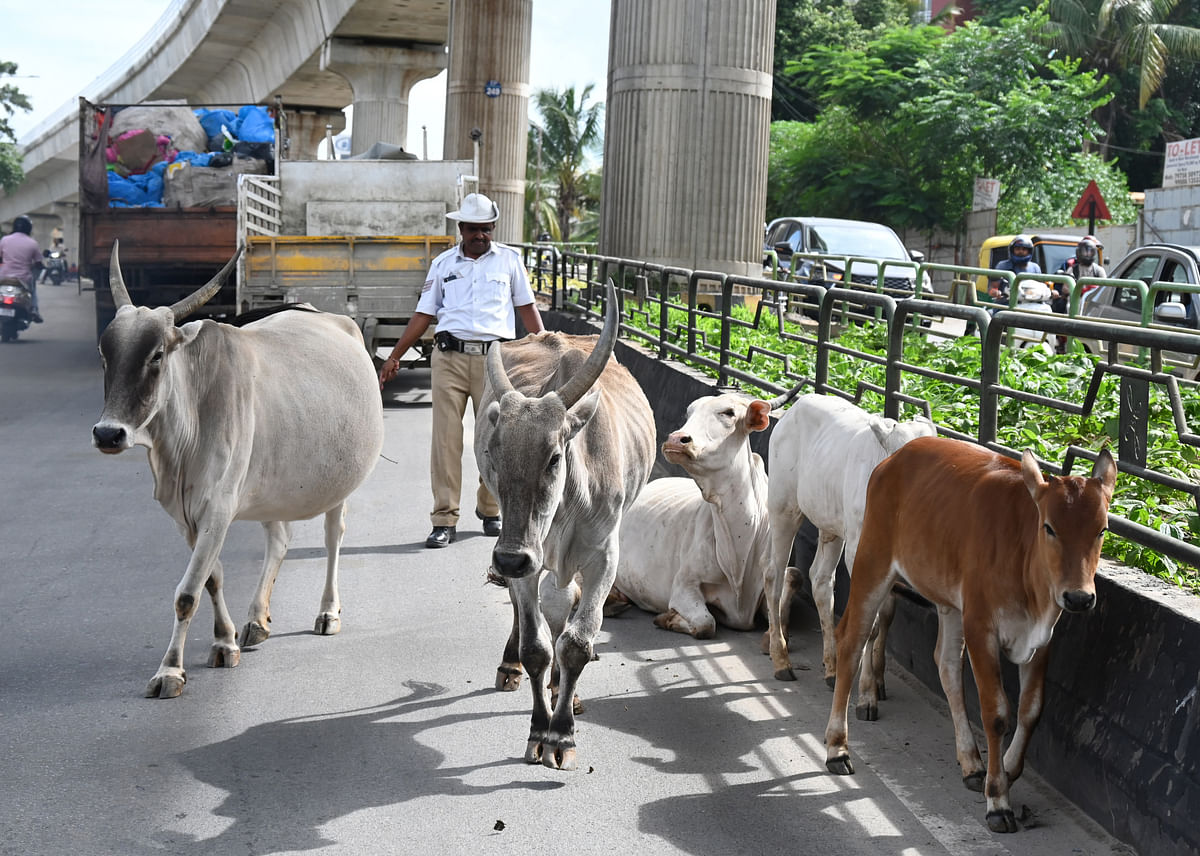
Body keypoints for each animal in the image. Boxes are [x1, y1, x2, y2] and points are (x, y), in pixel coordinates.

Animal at [93, 238, 384, 696]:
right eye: (106, 354)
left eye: (156, 355)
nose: (108, 434)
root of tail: (332, 318)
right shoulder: (185, 516)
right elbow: (211, 579)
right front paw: (224, 641)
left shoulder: (218, 508)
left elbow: (187, 593)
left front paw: (170, 670)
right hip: (271, 484)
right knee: (279, 539)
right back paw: (256, 619)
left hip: (339, 485)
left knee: (333, 537)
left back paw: (328, 612)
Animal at [475, 278, 657, 768]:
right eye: (493, 454)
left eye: (554, 457)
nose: (508, 561)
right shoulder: (528, 556)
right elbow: (537, 645)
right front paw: (541, 729)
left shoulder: (602, 557)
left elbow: (576, 640)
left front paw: (563, 732)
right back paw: (514, 667)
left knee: (565, 612)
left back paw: (565, 692)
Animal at [614, 386, 801, 633]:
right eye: (689, 413)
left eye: (729, 413)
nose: (676, 440)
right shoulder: (684, 585)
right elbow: (706, 624)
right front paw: (667, 618)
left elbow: (787, 597)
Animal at [768, 391, 936, 705]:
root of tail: (797, 406)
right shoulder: (860, 551)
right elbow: (868, 624)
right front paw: (866, 694)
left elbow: (884, 616)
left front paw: (875, 683)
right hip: (784, 508)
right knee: (773, 574)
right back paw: (781, 659)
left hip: (830, 525)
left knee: (820, 580)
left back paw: (832, 668)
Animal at [825, 437, 1113, 830]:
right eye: (1049, 527)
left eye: (1102, 530)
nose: (1079, 597)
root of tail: (896, 457)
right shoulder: (981, 626)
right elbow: (997, 713)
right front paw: (999, 800)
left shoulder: (1041, 638)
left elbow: (1031, 710)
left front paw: (1004, 768)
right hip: (872, 563)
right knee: (852, 641)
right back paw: (837, 748)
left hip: (949, 602)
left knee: (945, 664)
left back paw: (972, 763)